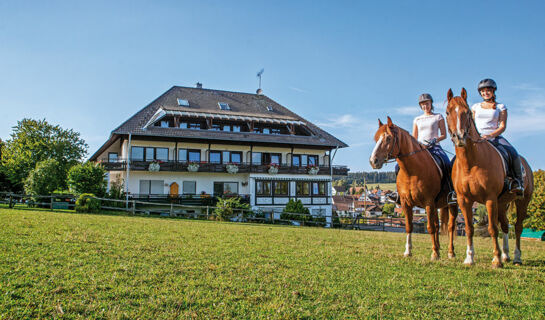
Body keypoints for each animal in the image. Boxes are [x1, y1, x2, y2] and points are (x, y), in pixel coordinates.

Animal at [368, 117, 456, 260]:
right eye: (376, 138)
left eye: (388, 138)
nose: (373, 161)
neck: (412, 172)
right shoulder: (405, 202)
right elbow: (409, 227)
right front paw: (408, 251)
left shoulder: (428, 203)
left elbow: (430, 227)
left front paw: (434, 254)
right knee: (438, 226)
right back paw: (438, 249)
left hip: (452, 204)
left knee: (450, 227)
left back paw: (450, 252)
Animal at [444, 88, 532, 268]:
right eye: (448, 112)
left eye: (467, 112)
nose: (459, 137)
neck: (471, 163)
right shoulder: (464, 200)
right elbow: (469, 228)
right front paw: (469, 258)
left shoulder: (490, 199)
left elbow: (492, 228)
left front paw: (496, 260)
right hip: (502, 203)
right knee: (505, 225)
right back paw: (506, 255)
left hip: (522, 201)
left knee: (517, 227)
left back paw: (516, 257)